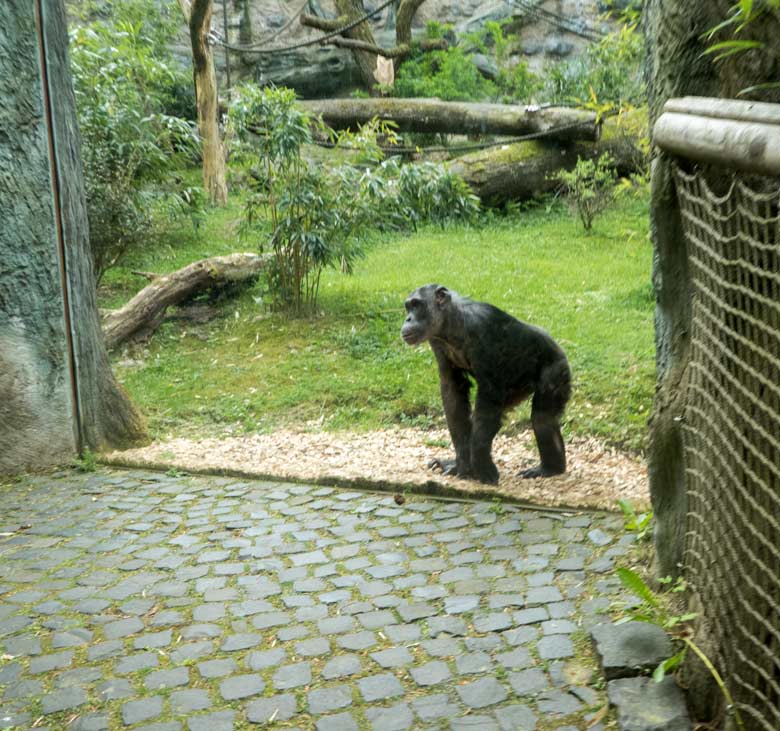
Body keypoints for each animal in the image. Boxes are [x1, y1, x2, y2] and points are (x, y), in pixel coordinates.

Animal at [400, 286, 568, 486]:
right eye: (408, 307)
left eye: (417, 305)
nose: (408, 318)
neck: (452, 323)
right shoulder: (436, 342)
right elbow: (453, 393)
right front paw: (462, 465)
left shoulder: (482, 329)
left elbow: (489, 392)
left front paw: (482, 466)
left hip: (556, 370)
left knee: (542, 419)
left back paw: (549, 469)